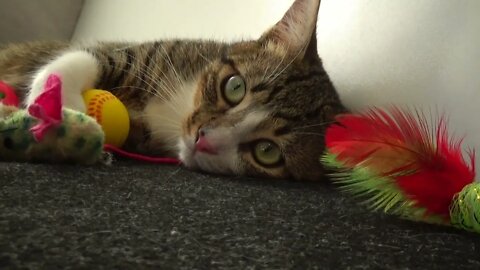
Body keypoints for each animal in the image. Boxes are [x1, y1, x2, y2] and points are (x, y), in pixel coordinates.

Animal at [0, 0, 344, 181]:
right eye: (235, 86)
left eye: (267, 152)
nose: (203, 138)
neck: (179, 111)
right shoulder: (152, 54)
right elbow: (91, 57)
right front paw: (59, 107)